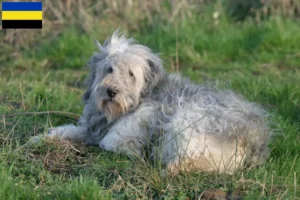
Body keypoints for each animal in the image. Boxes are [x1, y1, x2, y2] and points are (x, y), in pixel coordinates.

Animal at [29, 30, 272, 174]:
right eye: (109, 69)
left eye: (130, 74)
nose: (110, 91)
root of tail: (252, 137)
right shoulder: (94, 129)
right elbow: (69, 131)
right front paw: (42, 138)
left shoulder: (136, 123)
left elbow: (109, 141)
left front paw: (133, 151)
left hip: (187, 122)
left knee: (188, 160)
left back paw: (166, 166)